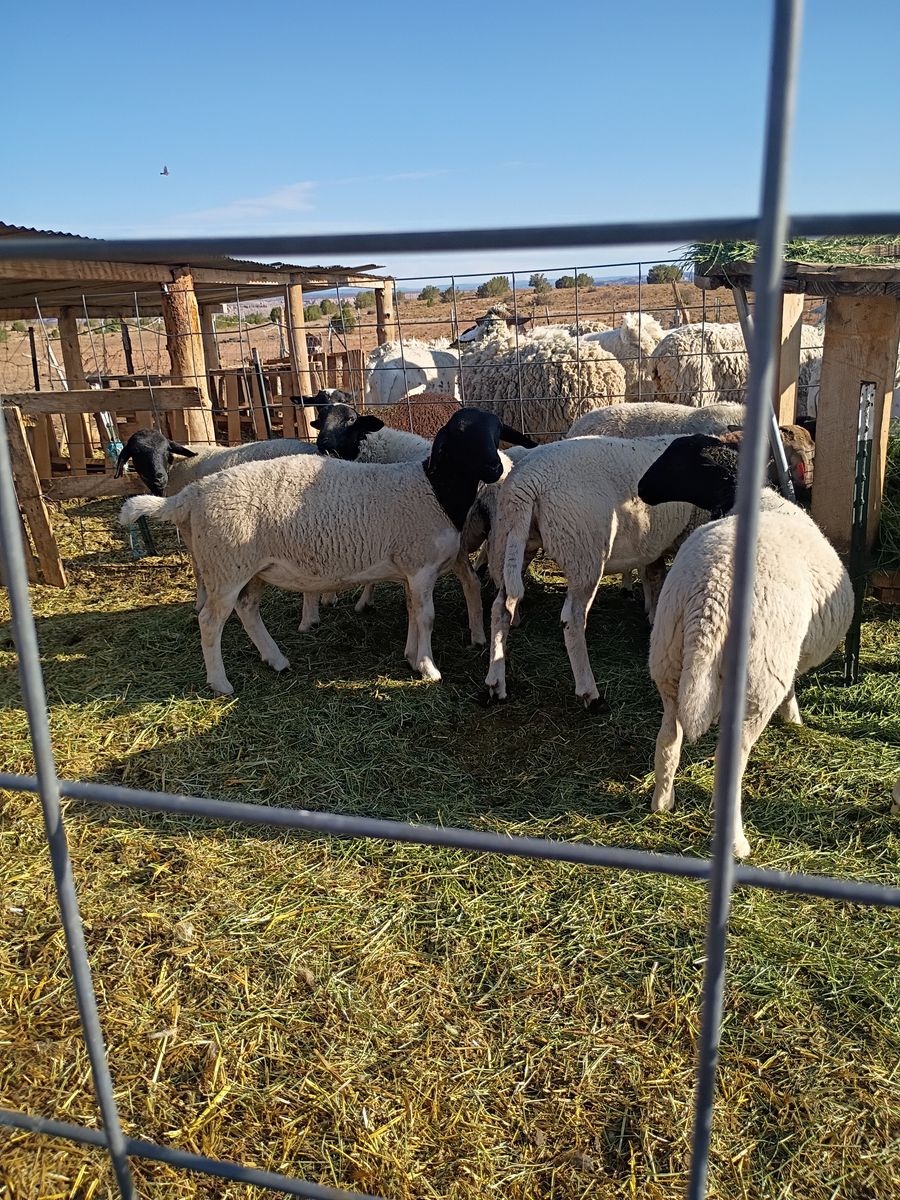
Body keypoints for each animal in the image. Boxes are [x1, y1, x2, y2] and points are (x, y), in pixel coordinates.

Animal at [118, 409, 516, 695]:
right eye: (463, 437)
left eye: (496, 431)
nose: (497, 468)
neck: (434, 489)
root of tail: (192, 493)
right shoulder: (419, 566)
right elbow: (427, 617)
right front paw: (428, 668)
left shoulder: (411, 568)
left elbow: (414, 613)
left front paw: (411, 657)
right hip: (225, 568)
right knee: (210, 622)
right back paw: (220, 683)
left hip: (252, 568)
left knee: (247, 609)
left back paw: (276, 660)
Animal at [484, 435, 700, 707]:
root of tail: (528, 481)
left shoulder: (657, 545)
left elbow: (656, 579)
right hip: (584, 552)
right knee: (573, 619)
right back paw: (590, 692)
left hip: (510, 541)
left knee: (500, 609)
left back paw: (496, 683)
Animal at [637, 433, 853, 857]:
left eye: (677, 458)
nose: (640, 488)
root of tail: (711, 594)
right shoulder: (786, 657)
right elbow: (791, 687)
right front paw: (794, 717)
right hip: (756, 682)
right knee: (730, 762)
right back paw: (736, 842)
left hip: (668, 658)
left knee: (668, 737)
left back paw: (661, 803)